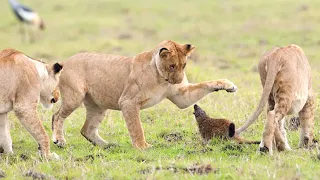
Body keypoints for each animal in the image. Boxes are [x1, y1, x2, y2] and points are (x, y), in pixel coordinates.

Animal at [52, 40, 238, 148]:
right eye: (172, 66)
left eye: (184, 65)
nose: (178, 80)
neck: (161, 79)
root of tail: (66, 61)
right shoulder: (128, 102)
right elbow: (136, 127)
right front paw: (143, 147)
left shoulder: (182, 97)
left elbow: (206, 84)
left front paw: (228, 85)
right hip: (74, 98)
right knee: (57, 116)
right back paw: (59, 140)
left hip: (99, 106)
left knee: (87, 129)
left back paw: (108, 145)